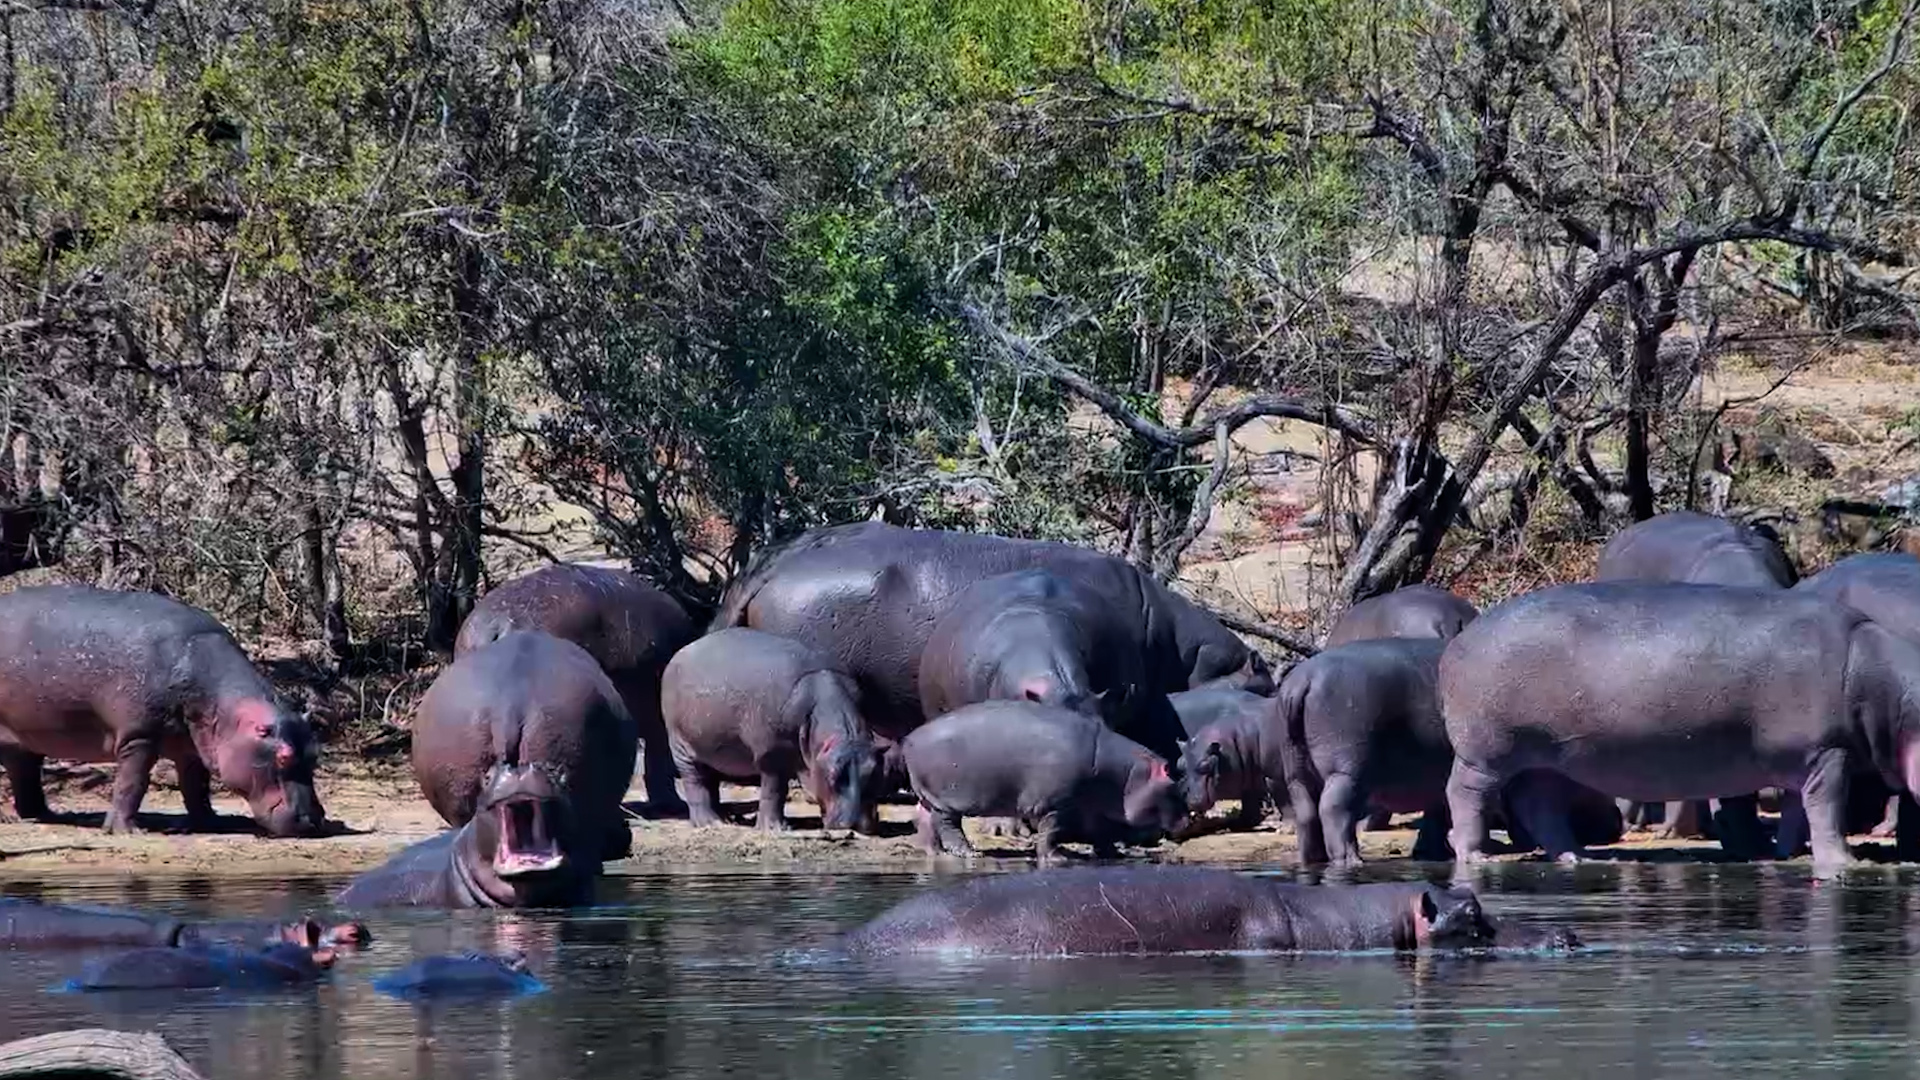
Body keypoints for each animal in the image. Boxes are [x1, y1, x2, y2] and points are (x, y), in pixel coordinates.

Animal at [0, 586, 324, 837]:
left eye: (315, 755)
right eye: (283, 757)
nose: (313, 821)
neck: (227, 710)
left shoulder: (193, 746)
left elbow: (196, 787)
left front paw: (210, 823)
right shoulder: (138, 736)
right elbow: (132, 783)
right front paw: (128, 831)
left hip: (24, 738)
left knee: (24, 771)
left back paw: (44, 815)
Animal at [661, 628, 884, 833]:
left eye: (874, 771)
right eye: (832, 775)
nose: (855, 824)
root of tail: (679, 653)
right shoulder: (772, 753)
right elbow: (774, 789)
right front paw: (775, 829)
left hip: (712, 747)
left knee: (710, 779)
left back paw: (725, 819)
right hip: (681, 744)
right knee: (695, 780)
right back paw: (710, 823)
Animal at [901, 700, 1186, 864]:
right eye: (1174, 783)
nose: (1188, 819)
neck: (1127, 773)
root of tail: (909, 738)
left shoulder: (1090, 807)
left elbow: (1100, 831)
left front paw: (1114, 854)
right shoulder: (1055, 805)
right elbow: (1051, 831)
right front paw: (1057, 859)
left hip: (928, 797)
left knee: (923, 820)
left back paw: (934, 853)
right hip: (945, 800)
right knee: (947, 826)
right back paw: (970, 853)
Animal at [1441, 582, 1920, 877]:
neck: (1900, 697)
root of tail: (1460, 640)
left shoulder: (1804, 759)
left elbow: (1797, 810)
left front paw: (1786, 854)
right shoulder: (1827, 751)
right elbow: (1827, 809)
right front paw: (1846, 864)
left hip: (1544, 757)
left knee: (1538, 805)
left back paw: (1578, 858)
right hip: (1488, 752)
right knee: (1465, 794)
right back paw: (1476, 856)